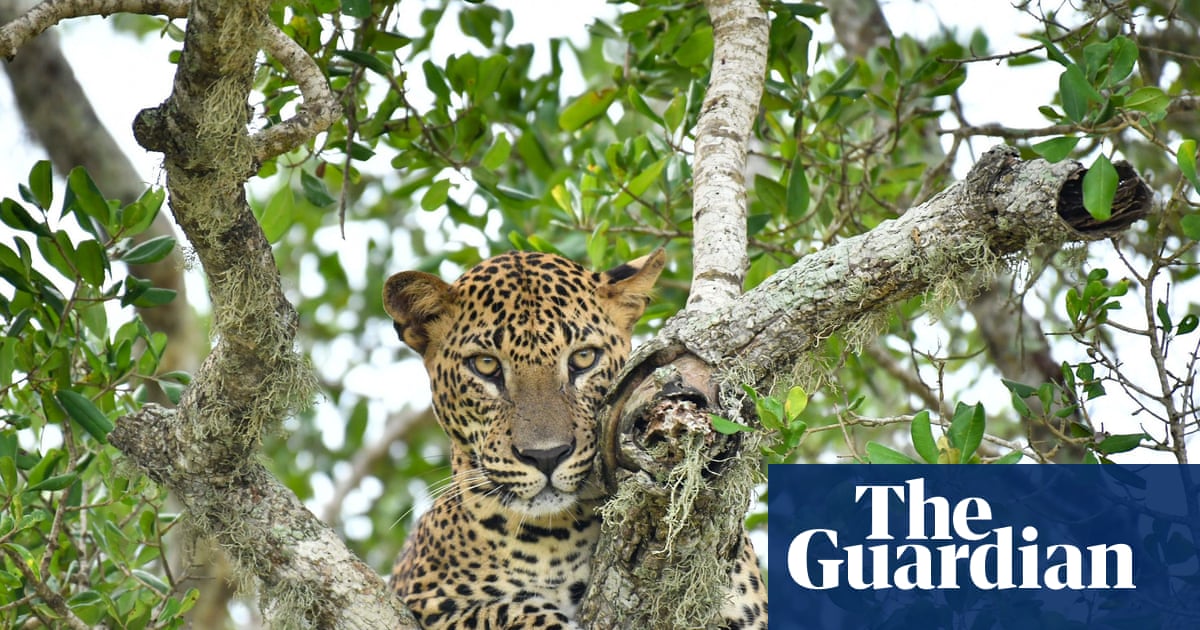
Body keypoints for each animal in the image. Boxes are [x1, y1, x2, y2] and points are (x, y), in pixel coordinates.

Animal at [382, 249, 767, 629]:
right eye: (486, 365)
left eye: (583, 358)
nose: (546, 456)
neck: (558, 536)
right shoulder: (432, 601)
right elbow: (505, 610)